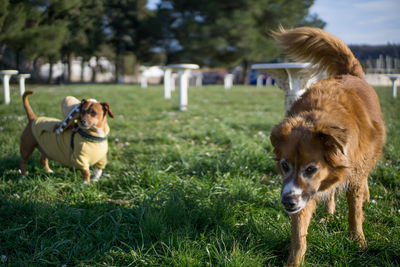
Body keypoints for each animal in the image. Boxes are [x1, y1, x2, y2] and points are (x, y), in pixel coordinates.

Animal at [270, 27, 386, 267]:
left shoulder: (352, 174)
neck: (318, 117)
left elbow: (354, 212)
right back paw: (328, 212)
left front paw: (358, 241)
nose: (287, 202)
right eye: (285, 166)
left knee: (364, 179)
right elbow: (299, 232)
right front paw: (294, 261)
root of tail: (351, 74)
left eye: (311, 169)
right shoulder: (303, 194)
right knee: (330, 193)